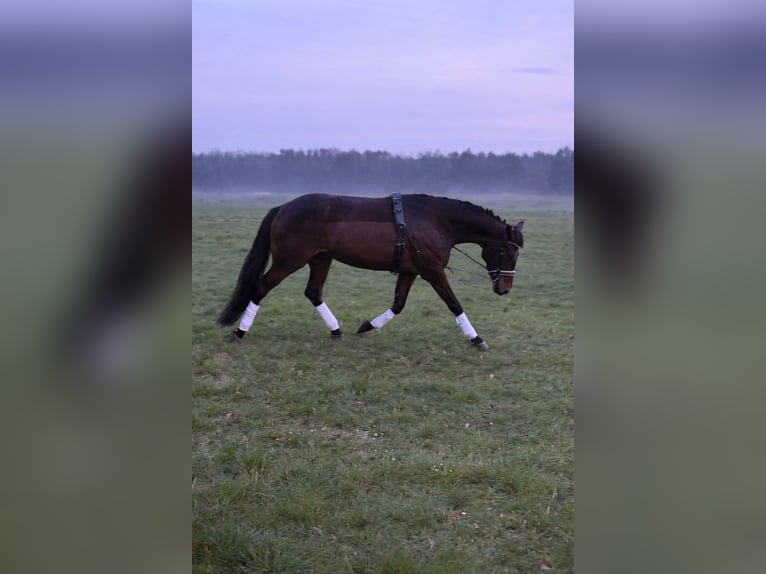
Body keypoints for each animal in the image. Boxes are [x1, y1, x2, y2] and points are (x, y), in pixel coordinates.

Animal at [218, 193, 524, 350]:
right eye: (510, 252)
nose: (504, 289)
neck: (436, 221)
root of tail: (284, 207)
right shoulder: (433, 270)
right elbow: (454, 304)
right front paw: (476, 338)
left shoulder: (411, 271)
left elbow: (398, 305)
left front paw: (367, 326)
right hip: (288, 262)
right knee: (260, 288)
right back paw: (240, 332)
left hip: (321, 260)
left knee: (313, 292)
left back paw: (336, 330)